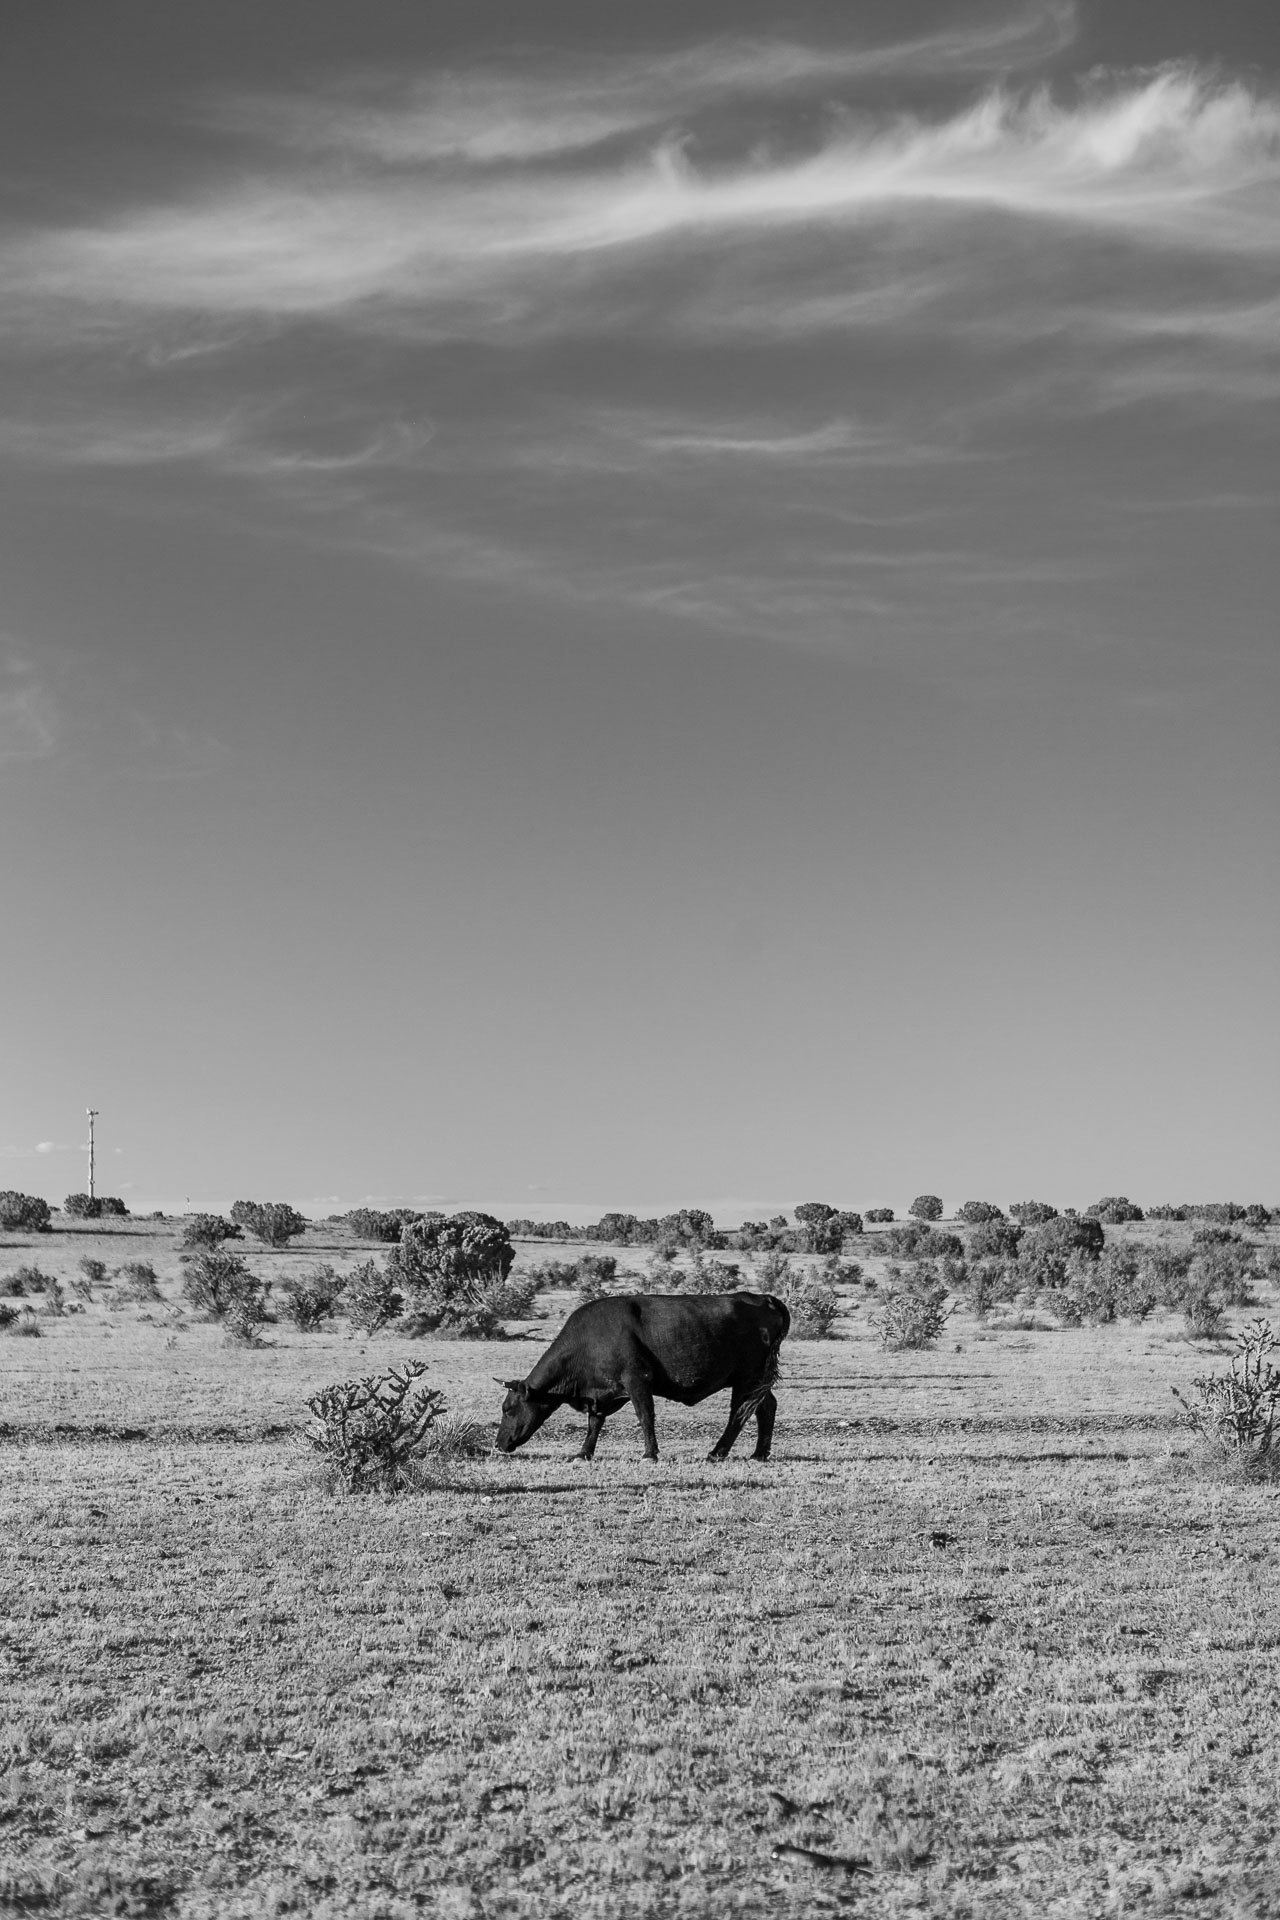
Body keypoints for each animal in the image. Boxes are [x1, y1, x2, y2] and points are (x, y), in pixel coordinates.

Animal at [495, 1297, 786, 1459]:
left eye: (508, 1409)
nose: (498, 1444)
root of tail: (763, 1298)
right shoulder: (601, 1395)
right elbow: (594, 1424)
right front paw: (583, 1452)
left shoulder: (637, 1381)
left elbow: (645, 1416)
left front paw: (650, 1453)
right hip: (756, 1381)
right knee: (766, 1407)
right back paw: (759, 1454)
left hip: (748, 1378)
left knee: (739, 1412)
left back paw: (717, 1453)